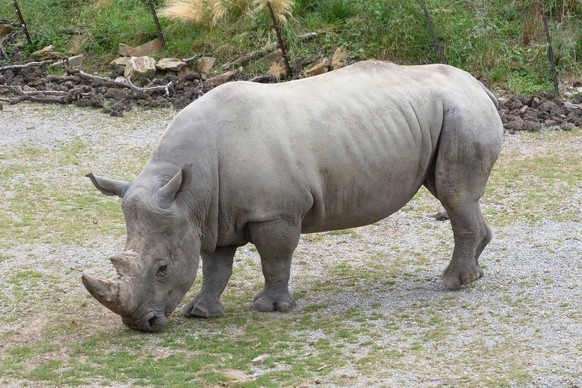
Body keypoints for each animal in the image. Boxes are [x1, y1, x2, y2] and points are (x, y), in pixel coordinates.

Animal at [83, 60, 506, 330]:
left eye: (162, 268)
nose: (139, 324)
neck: (190, 192)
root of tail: (479, 86)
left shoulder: (274, 211)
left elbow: (274, 258)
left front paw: (270, 309)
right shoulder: (210, 216)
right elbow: (216, 267)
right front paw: (201, 313)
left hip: (462, 114)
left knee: (453, 193)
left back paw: (453, 283)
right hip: (446, 114)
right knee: (457, 196)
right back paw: (476, 272)